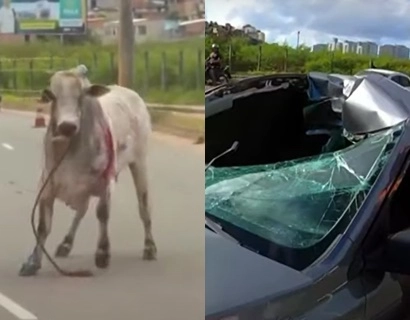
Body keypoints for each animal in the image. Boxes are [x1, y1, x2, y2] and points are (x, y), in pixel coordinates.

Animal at [18, 67, 155, 276]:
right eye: (53, 96)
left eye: (81, 95)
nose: (67, 126)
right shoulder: (46, 187)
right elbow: (43, 226)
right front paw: (32, 262)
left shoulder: (106, 182)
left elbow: (103, 213)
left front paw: (102, 254)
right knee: (81, 211)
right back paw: (66, 244)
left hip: (139, 163)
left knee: (143, 206)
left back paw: (149, 247)